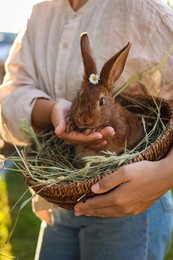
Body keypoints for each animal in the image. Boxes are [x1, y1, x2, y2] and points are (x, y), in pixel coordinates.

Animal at [67, 32, 144, 165]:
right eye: (80, 97)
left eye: (101, 101)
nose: (85, 119)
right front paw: (70, 125)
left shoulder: (120, 129)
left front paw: (93, 130)